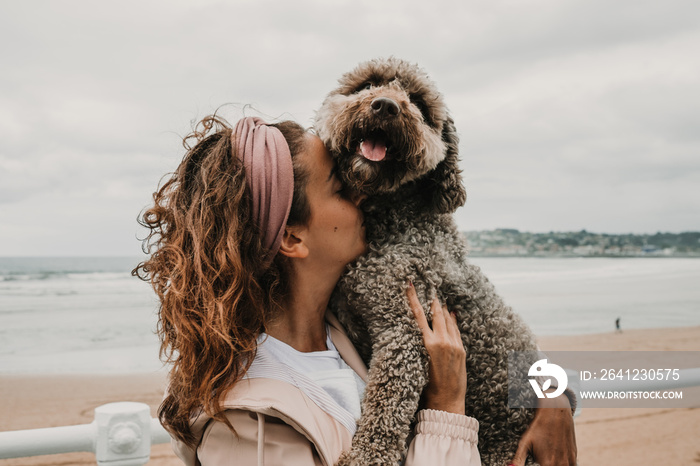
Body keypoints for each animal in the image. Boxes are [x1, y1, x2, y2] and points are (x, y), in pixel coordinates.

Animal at [314, 58, 540, 466]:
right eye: (367, 84)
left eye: (418, 102)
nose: (386, 106)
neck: (394, 219)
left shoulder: (405, 331)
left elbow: (386, 408)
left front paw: (366, 457)